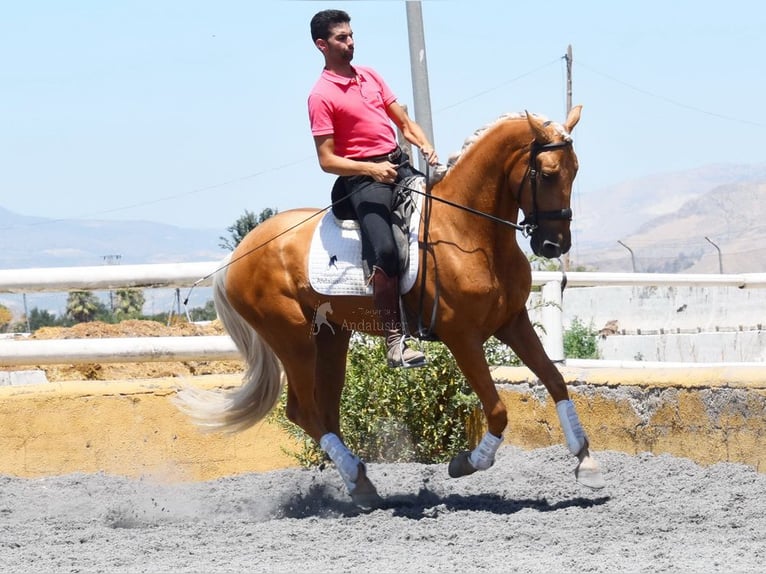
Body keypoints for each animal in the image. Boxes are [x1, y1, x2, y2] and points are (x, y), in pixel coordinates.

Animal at [174, 107, 608, 508]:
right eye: (547, 173)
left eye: (575, 170)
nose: (554, 245)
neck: (469, 232)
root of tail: (239, 252)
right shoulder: (462, 337)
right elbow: (498, 410)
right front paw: (465, 462)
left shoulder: (513, 322)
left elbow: (555, 380)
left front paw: (586, 462)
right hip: (292, 338)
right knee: (304, 412)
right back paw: (358, 476)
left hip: (331, 337)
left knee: (325, 410)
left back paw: (361, 486)